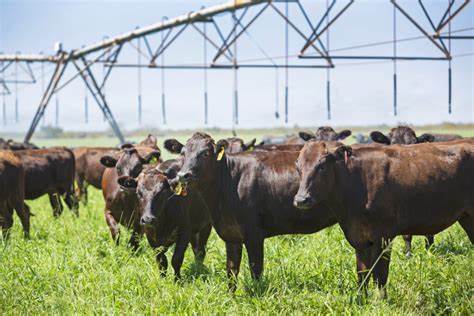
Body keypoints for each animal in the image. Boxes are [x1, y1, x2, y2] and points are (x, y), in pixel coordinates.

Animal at [174, 132, 336, 290]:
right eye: (183, 153)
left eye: (205, 153)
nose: (183, 175)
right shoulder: (231, 234)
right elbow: (232, 269)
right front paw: (231, 294)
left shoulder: (254, 234)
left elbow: (256, 269)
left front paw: (258, 293)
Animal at [294, 141, 472, 298]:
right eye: (298, 168)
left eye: (322, 166)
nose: (301, 199)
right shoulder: (359, 238)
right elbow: (363, 273)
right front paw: (361, 300)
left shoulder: (383, 236)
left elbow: (380, 274)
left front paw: (381, 301)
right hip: (467, 218)